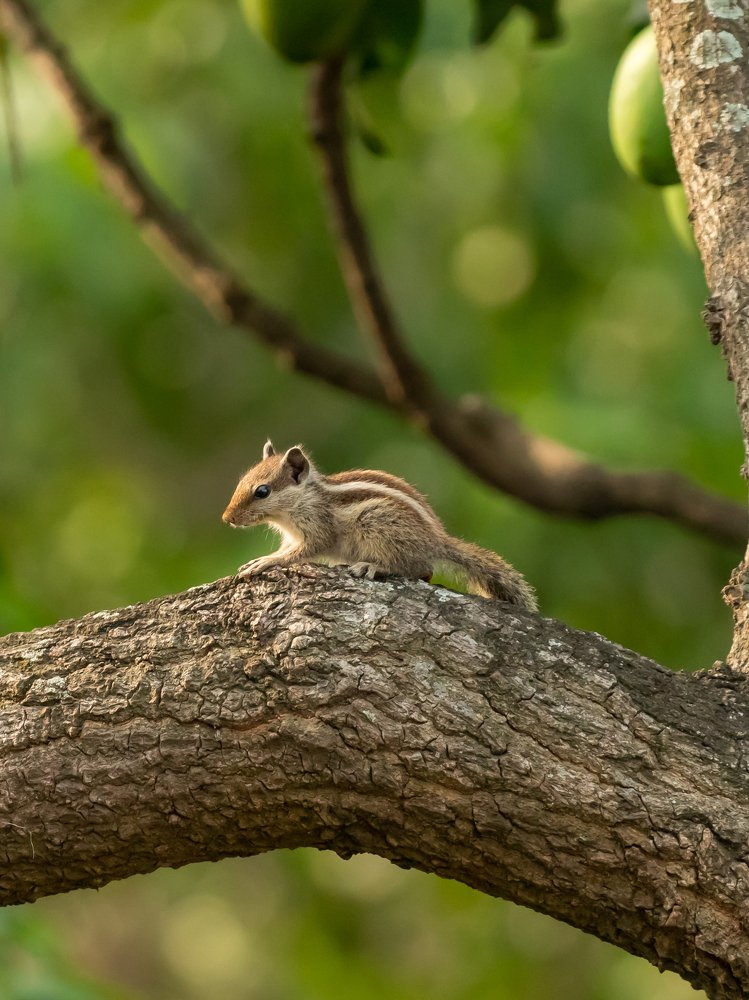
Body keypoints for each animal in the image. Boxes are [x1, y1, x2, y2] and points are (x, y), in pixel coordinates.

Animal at [222, 441, 537, 611]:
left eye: (262, 491)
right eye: (242, 480)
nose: (227, 518)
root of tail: (437, 541)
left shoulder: (318, 528)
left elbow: (303, 551)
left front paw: (265, 562)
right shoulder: (291, 536)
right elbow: (289, 549)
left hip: (376, 524)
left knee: (418, 568)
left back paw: (372, 566)